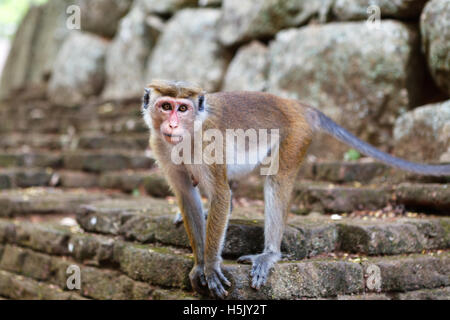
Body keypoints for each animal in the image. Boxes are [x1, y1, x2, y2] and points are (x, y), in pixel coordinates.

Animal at [142, 79, 450, 298]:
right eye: (166, 106)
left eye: (183, 108)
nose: (172, 124)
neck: (188, 134)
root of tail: (297, 105)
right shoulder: (159, 145)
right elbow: (187, 196)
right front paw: (199, 264)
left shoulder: (209, 143)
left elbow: (219, 193)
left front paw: (210, 265)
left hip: (296, 134)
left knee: (275, 179)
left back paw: (270, 254)